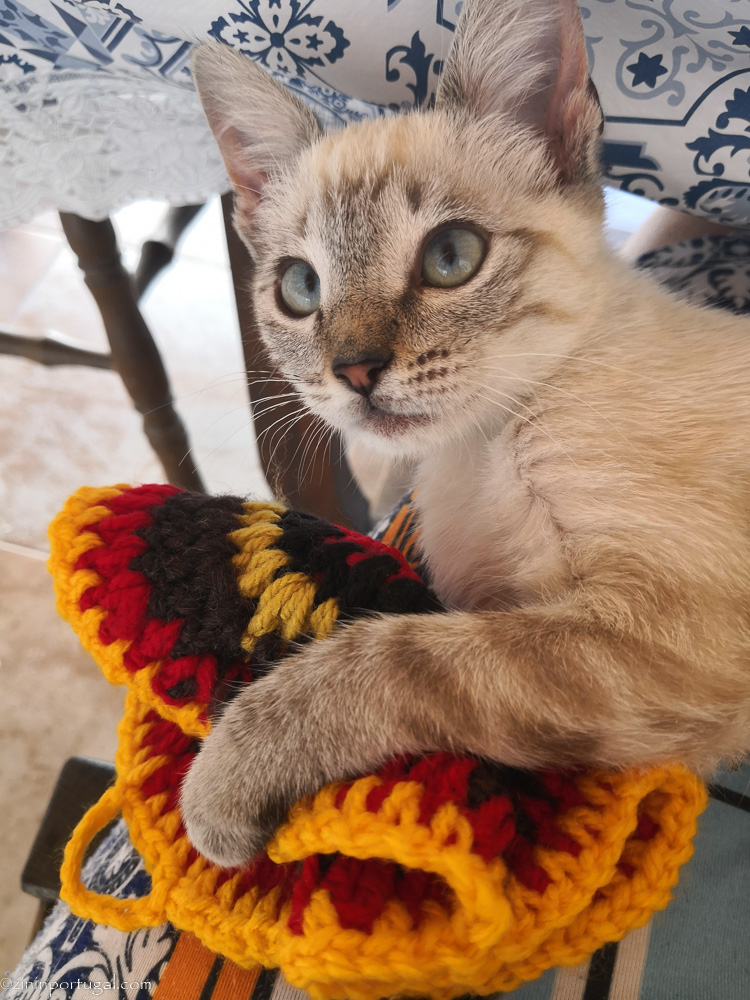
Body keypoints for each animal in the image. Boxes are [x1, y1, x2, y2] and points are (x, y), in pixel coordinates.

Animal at [181, 0, 750, 868]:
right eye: (300, 287)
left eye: (451, 256)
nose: (355, 370)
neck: (479, 449)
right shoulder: (505, 602)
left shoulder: (661, 635)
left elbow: (392, 653)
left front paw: (223, 778)